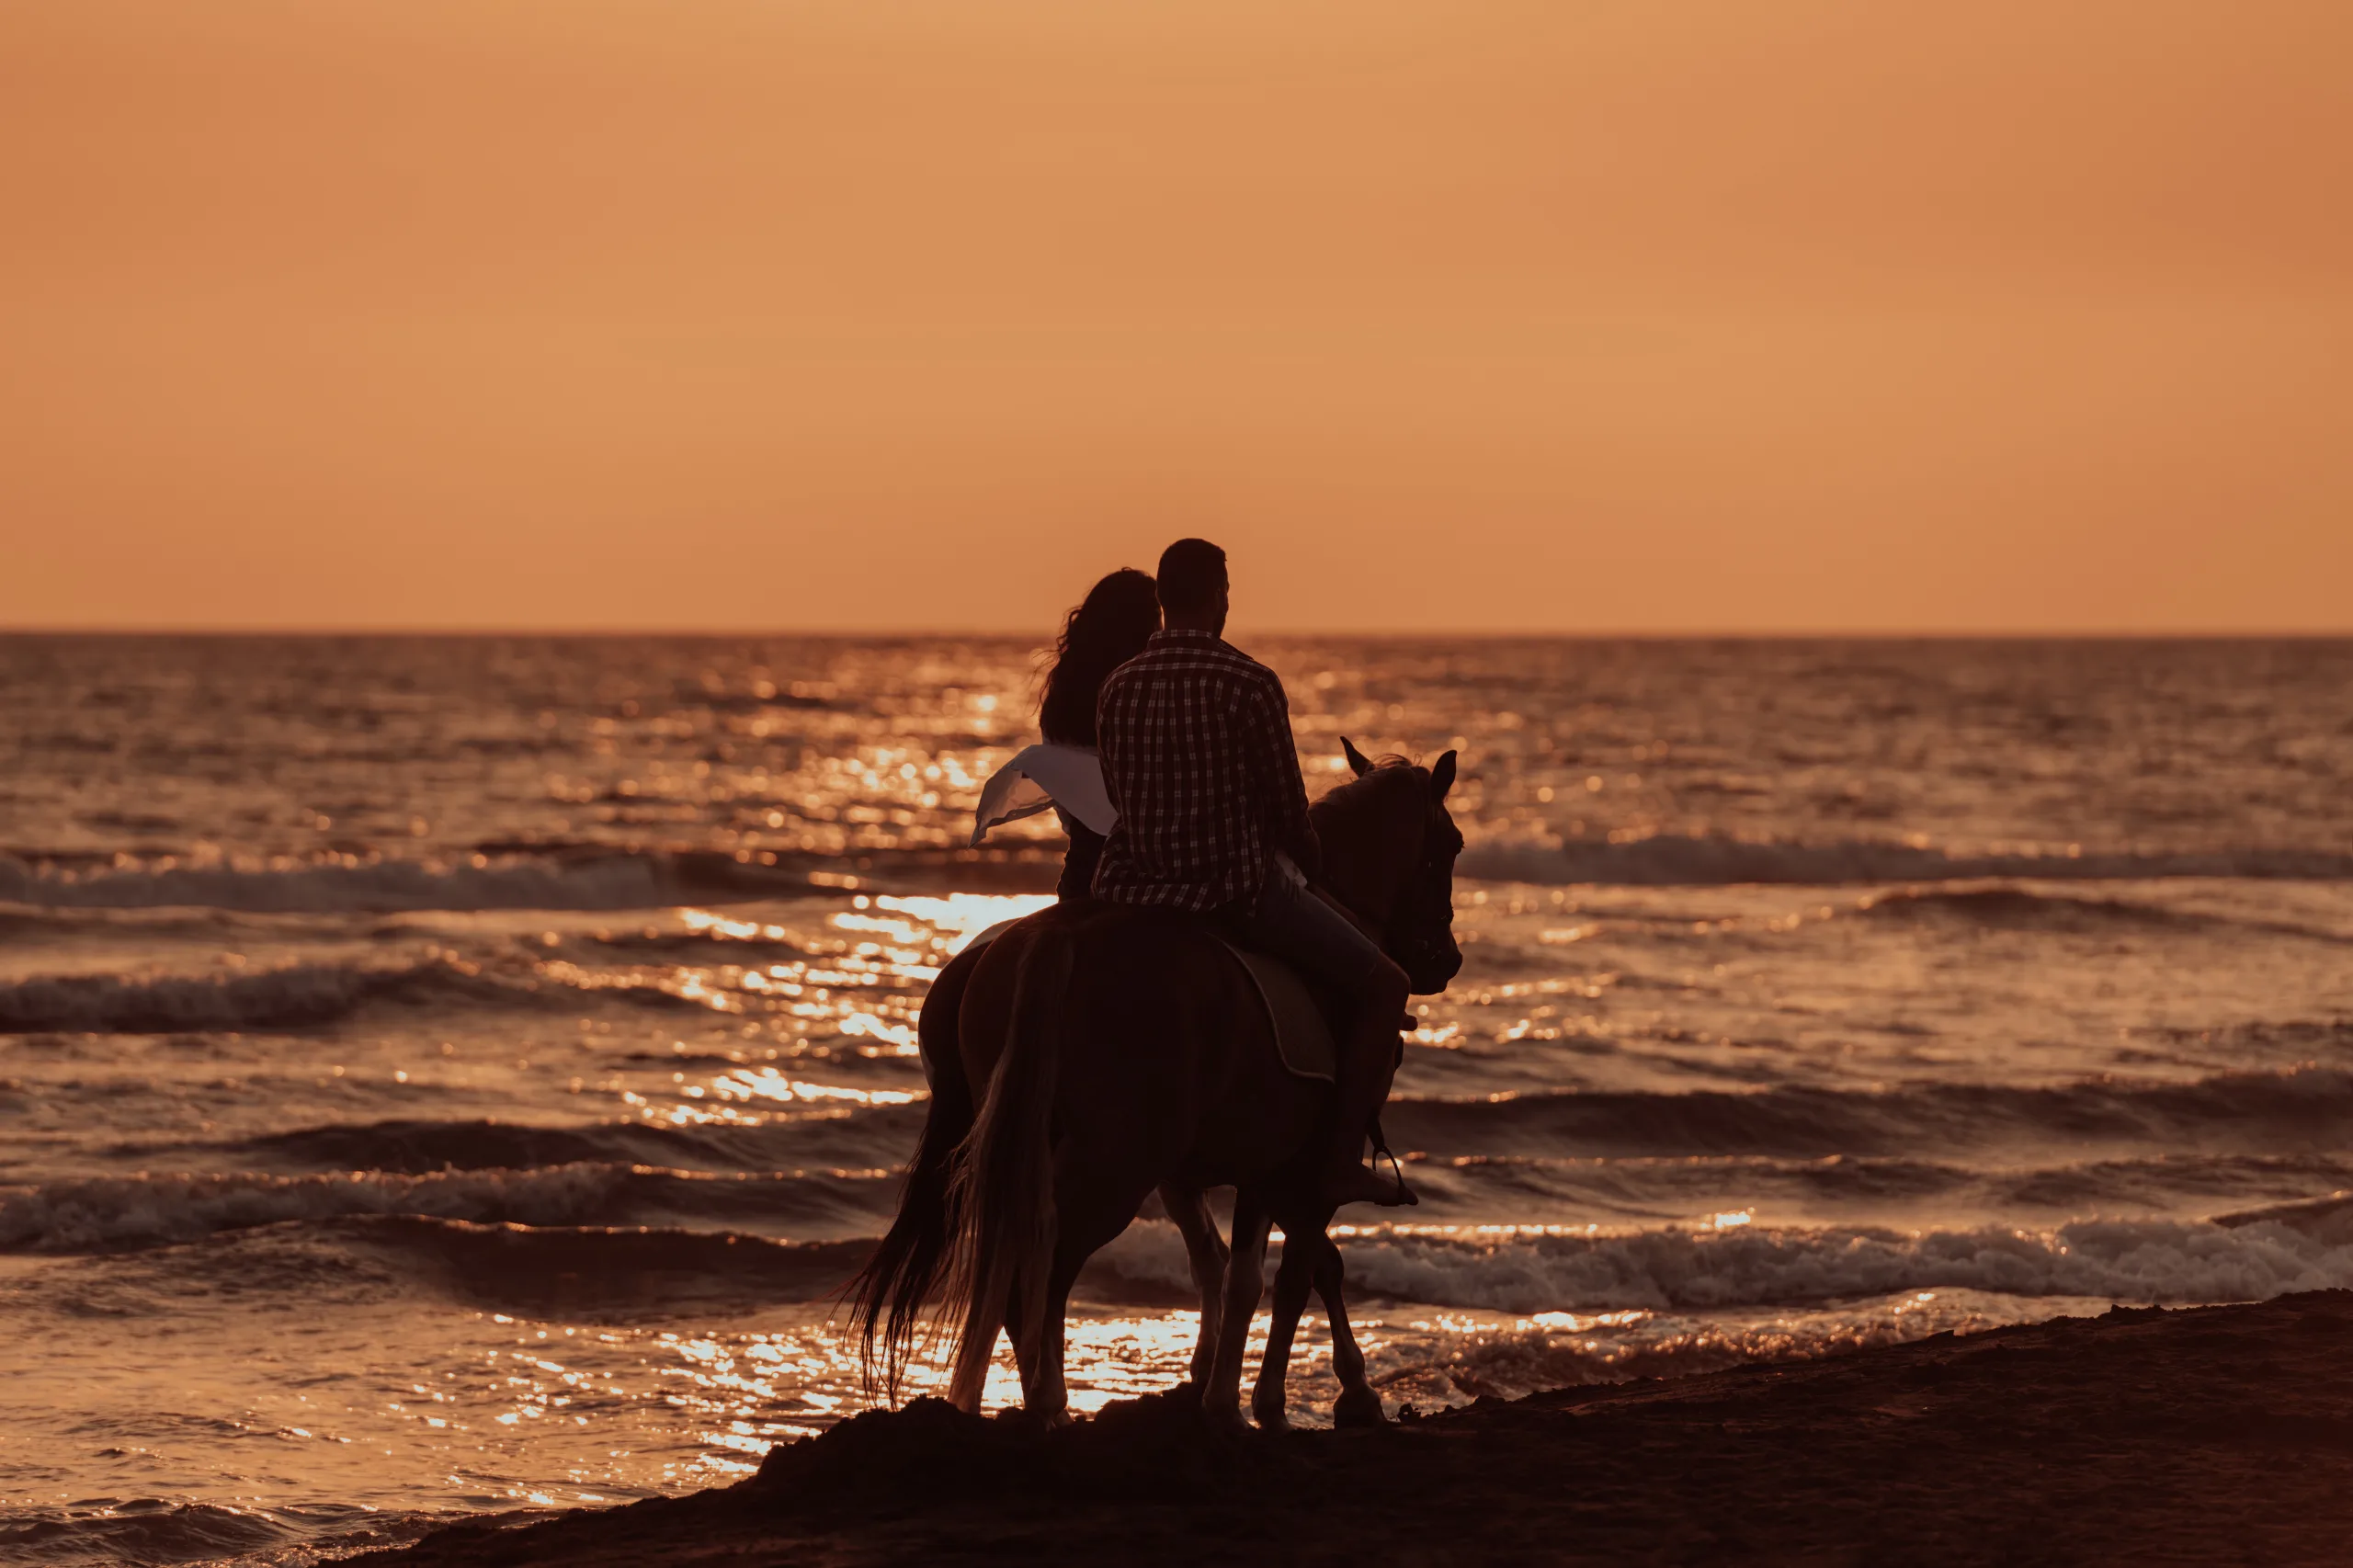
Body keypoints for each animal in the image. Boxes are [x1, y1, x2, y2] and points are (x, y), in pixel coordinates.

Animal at [847, 537, 1468, 1431]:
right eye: (1449, 847)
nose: (1442, 961)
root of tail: (1051, 943)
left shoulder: (1219, 1164)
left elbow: (1235, 1267)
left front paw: (1217, 1389)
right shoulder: (1291, 1162)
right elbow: (1289, 1270)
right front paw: (1291, 1397)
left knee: (1022, 1252)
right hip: (1119, 1154)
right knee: (1046, 1256)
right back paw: (1048, 1403)